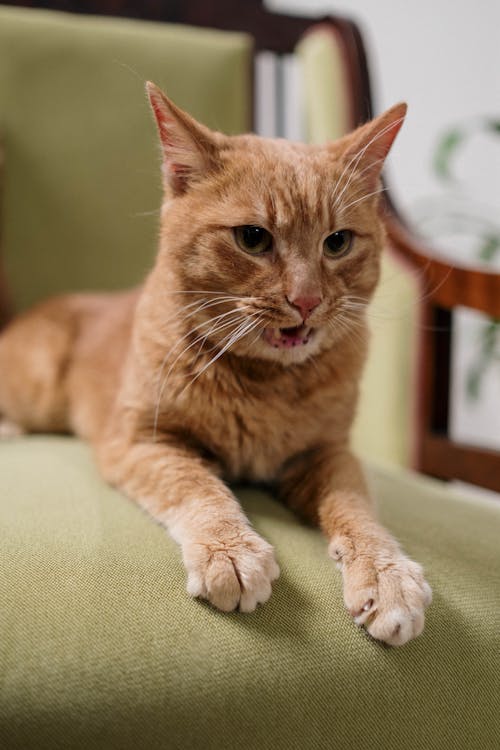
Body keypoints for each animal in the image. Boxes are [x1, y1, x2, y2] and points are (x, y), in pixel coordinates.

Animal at [0, 82, 430, 648]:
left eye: (337, 242)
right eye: (253, 238)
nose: (307, 300)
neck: (267, 382)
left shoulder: (327, 455)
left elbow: (357, 510)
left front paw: (386, 573)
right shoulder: (142, 443)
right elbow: (199, 487)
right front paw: (230, 551)